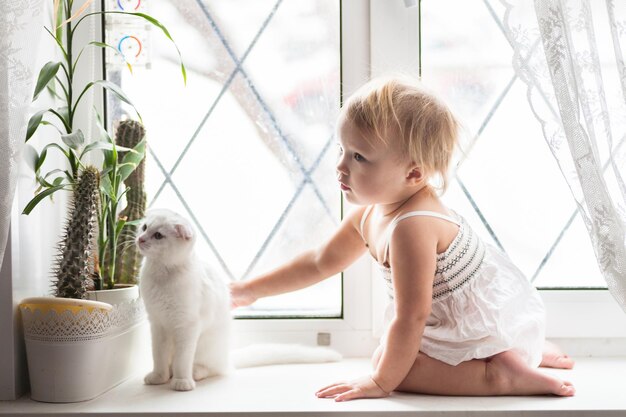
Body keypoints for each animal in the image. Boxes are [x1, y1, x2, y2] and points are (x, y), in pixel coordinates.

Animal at [138, 210, 342, 392]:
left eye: (158, 235)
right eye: (145, 227)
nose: (140, 239)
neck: (162, 276)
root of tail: (227, 358)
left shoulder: (186, 327)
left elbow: (182, 360)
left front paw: (182, 381)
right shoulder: (158, 324)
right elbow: (159, 356)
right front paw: (159, 377)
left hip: (206, 347)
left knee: (210, 368)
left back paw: (194, 373)